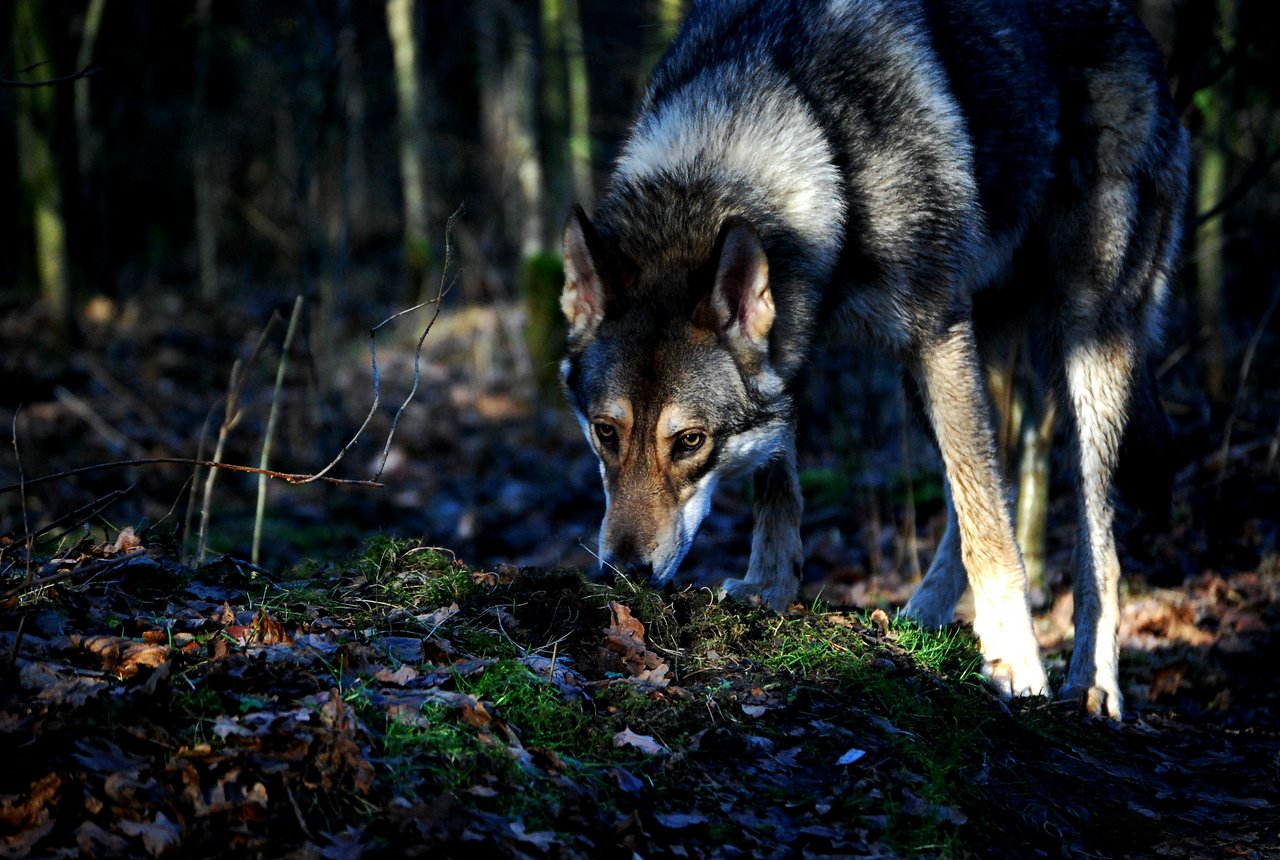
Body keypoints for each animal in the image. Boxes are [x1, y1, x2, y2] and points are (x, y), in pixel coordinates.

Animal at [560, 0, 1187, 716]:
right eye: (605, 433)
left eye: (689, 441)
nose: (624, 575)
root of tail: (1140, 33)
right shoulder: (802, 348)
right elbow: (780, 484)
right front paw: (769, 587)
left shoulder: (937, 332)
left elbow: (990, 527)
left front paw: (1016, 661)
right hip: (942, 372)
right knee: (986, 483)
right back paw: (923, 618)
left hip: (1080, 349)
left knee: (1089, 536)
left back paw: (1092, 682)